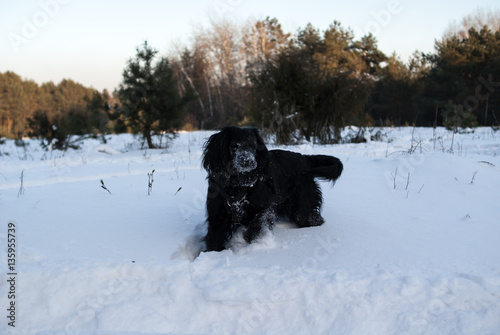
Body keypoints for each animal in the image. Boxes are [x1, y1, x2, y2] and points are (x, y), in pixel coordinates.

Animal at [201, 128, 342, 252]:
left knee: (312, 218)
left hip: (303, 205)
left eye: (253, 146)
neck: (238, 184)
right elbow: (215, 236)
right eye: (234, 145)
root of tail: (304, 158)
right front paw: (214, 252)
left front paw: (243, 240)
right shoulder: (217, 214)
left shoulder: (263, 208)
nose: (248, 161)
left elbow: (255, 227)